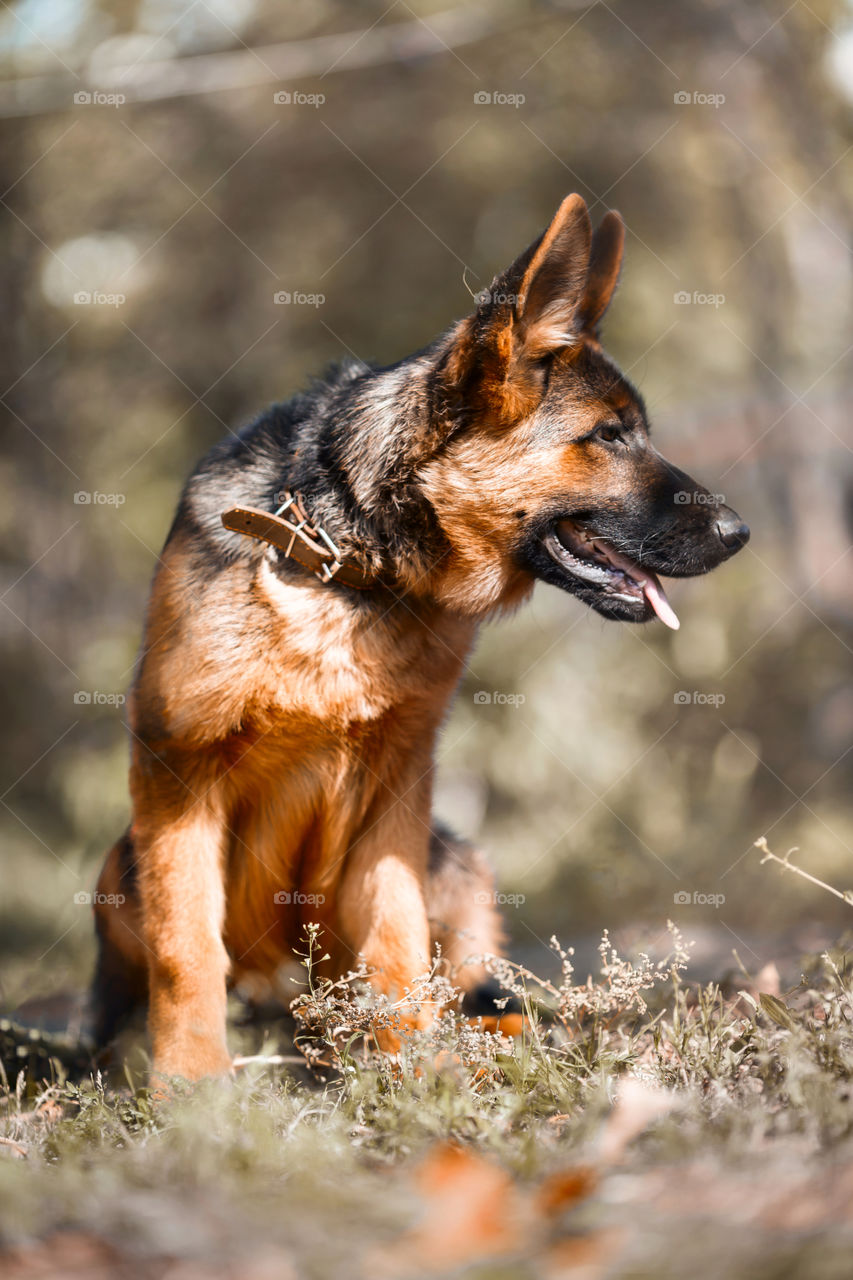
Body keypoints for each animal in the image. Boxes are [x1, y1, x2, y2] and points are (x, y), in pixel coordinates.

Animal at [91, 194, 742, 1075]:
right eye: (608, 436)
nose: (739, 532)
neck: (347, 569)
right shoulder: (178, 775)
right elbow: (185, 945)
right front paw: (190, 1085)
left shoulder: (396, 792)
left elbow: (393, 940)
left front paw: (418, 1073)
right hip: (119, 865)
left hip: (456, 857)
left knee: (474, 986)